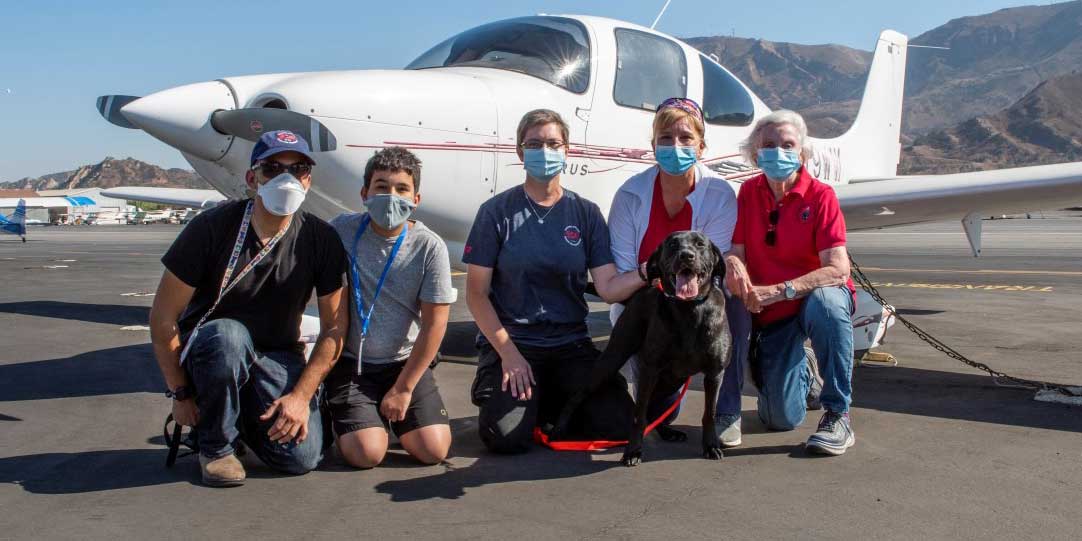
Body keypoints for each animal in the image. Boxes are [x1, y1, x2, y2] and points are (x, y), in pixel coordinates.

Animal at [553, 230, 731, 467]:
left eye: (700, 244)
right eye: (673, 245)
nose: (686, 256)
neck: (689, 309)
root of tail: (643, 289)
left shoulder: (715, 373)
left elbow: (709, 413)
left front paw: (711, 446)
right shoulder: (649, 370)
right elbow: (638, 415)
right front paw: (633, 451)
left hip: (672, 379)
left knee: (657, 408)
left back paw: (667, 432)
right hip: (613, 358)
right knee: (579, 394)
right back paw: (559, 428)